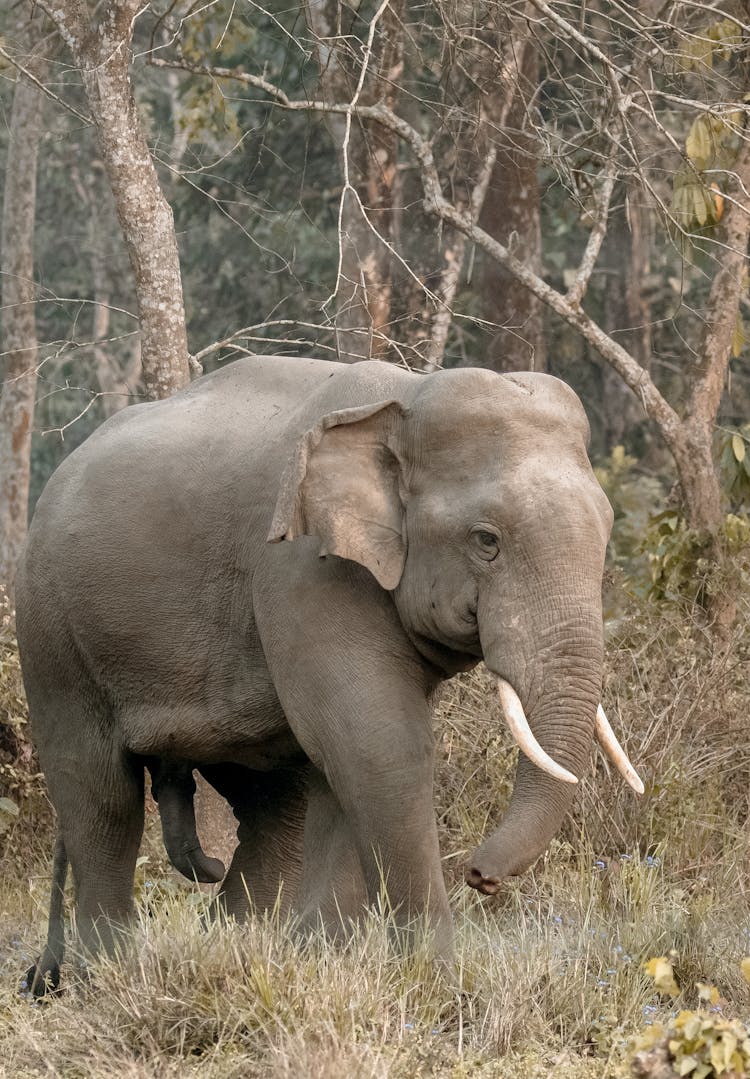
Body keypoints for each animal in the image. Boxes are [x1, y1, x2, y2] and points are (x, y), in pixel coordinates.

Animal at [14, 353, 643, 992]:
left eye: (606, 531)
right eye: (486, 539)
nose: (480, 876)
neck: (406, 396)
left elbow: (345, 759)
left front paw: (328, 961)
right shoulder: (304, 569)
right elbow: (378, 746)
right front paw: (435, 981)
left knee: (275, 804)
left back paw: (236, 949)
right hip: (51, 630)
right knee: (99, 793)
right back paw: (109, 976)